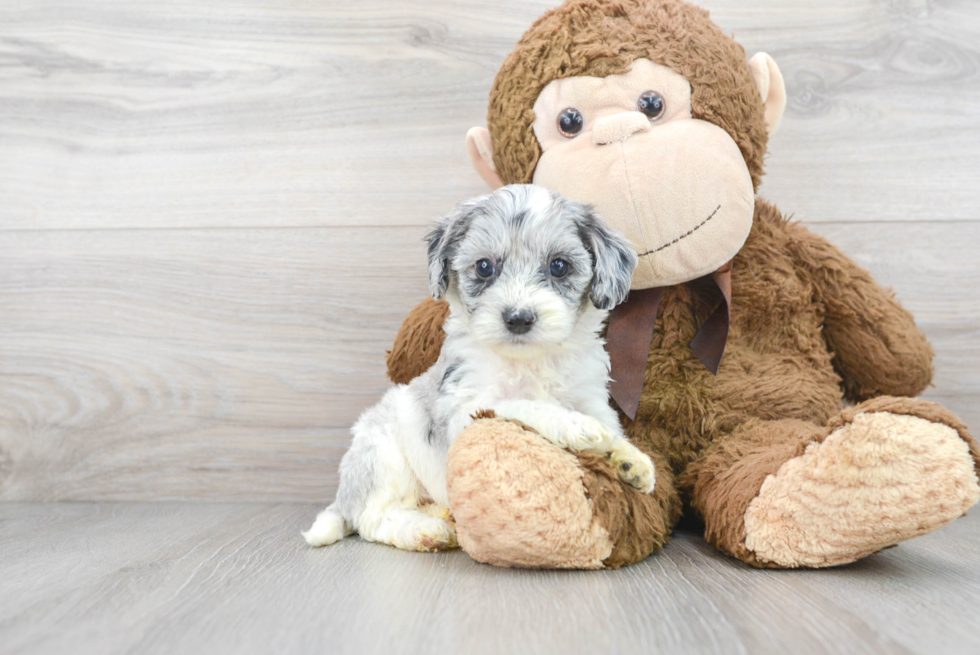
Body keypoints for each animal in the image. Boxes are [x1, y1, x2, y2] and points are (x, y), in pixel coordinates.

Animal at [304, 184, 660, 552]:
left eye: (559, 266)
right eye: (484, 267)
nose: (518, 317)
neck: (528, 360)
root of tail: (343, 496)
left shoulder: (590, 397)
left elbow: (610, 428)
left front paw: (630, 458)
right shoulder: (468, 411)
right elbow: (521, 404)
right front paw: (572, 424)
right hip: (382, 455)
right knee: (373, 518)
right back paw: (424, 530)